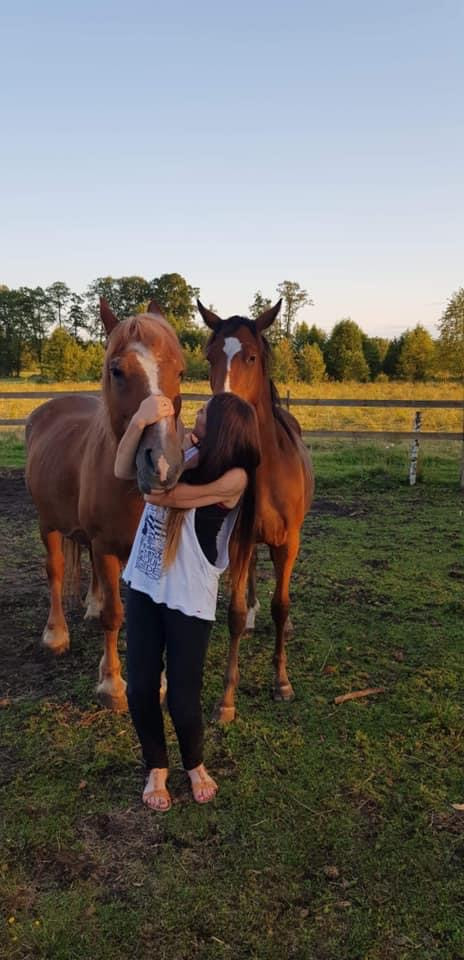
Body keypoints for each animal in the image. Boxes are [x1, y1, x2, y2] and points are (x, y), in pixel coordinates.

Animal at [25, 299, 185, 711]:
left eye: (180, 370)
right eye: (117, 370)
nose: (163, 465)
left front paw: (161, 683)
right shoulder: (106, 548)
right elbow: (115, 616)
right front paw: (112, 685)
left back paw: (91, 603)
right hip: (47, 523)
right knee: (55, 570)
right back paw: (56, 634)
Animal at [197, 299, 314, 722]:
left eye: (250, 356)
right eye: (210, 356)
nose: (217, 419)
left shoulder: (288, 541)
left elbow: (281, 605)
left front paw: (281, 682)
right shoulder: (239, 540)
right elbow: (232, 613)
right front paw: (226, 700)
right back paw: (251, 613)